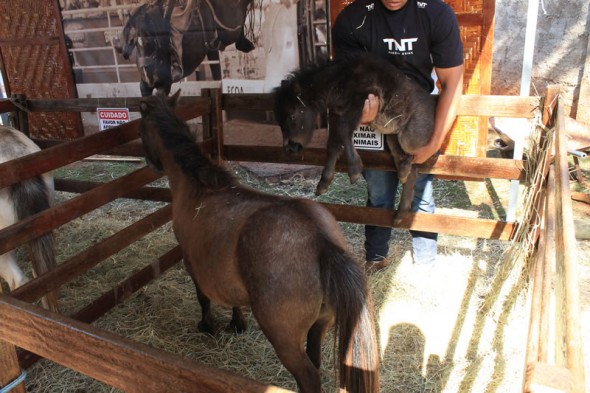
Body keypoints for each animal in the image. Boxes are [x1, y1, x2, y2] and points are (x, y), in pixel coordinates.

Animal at [138, 92, 380, 392]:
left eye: (140, 128)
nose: (150, 163)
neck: (200, 188)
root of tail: (319, 240)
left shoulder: (191, 262)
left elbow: (203, 298)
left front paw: (207, 326)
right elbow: (232, 299)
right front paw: (237, 324)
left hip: (285, 339)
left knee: (308, 376)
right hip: (320, 325)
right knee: (315, 361)